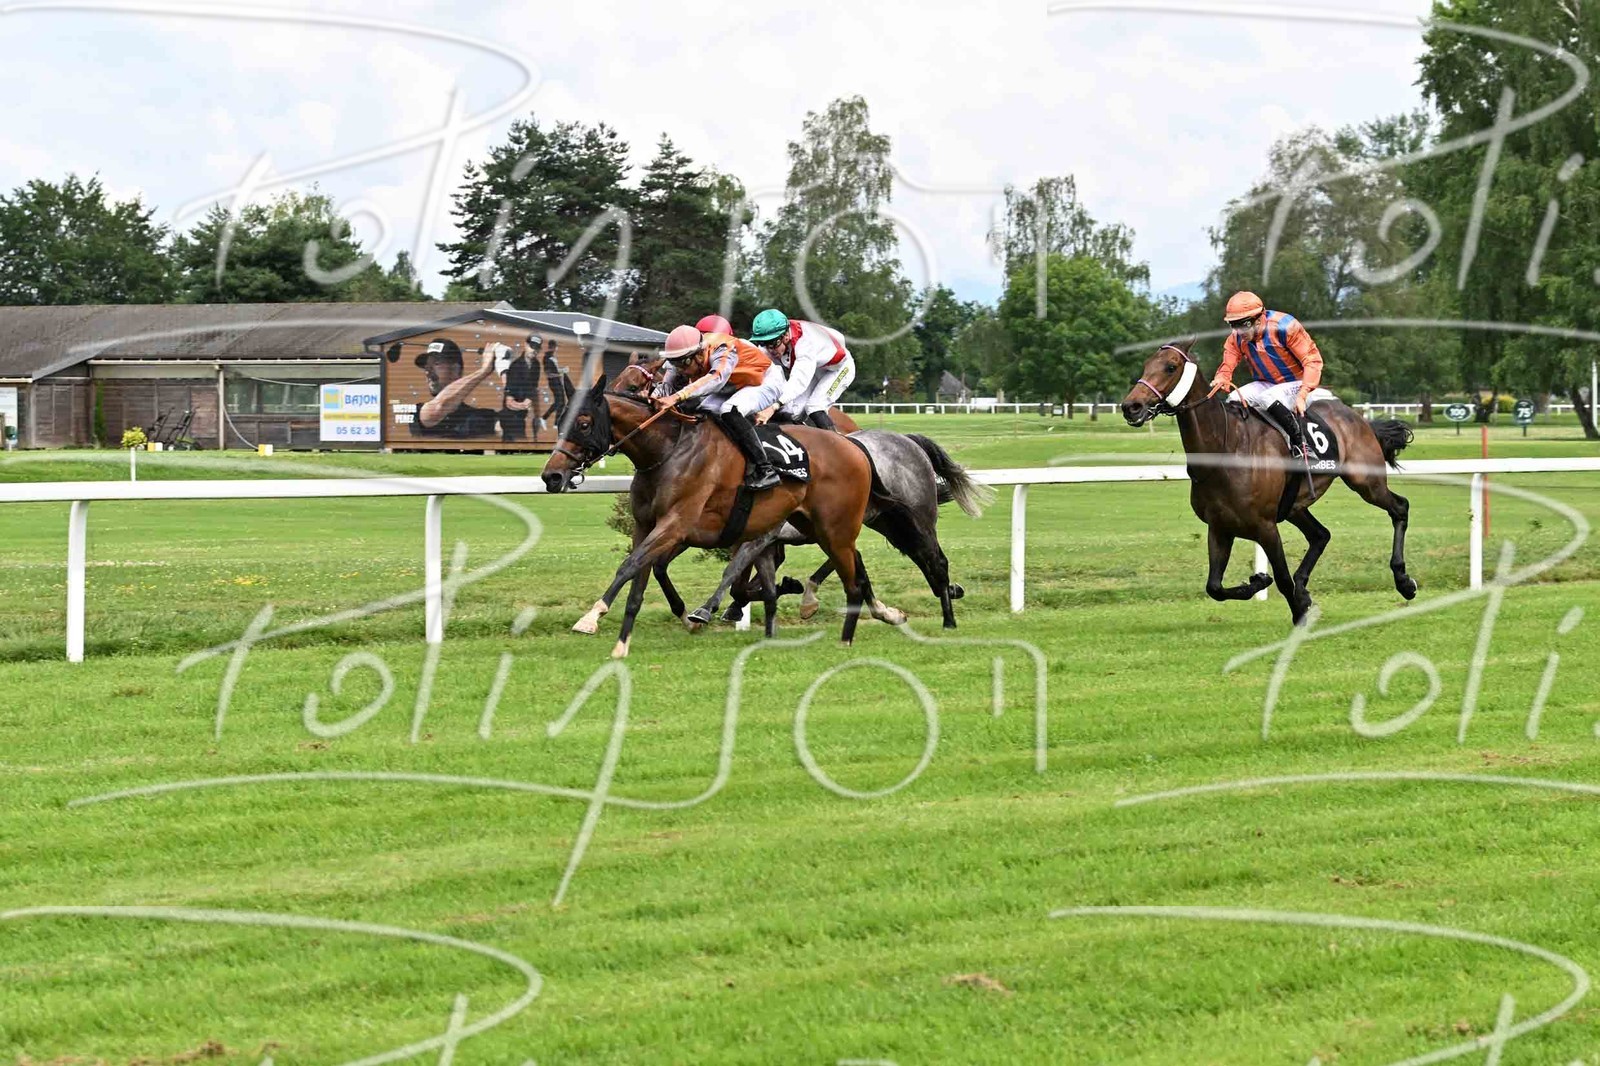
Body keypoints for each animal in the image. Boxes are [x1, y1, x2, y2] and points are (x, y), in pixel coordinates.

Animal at [540, 375, 881, 656]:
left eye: (584, 423)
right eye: (561, 420)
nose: (551, 476)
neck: (668, 451)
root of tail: (852, 444)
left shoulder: (675, 525)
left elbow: (629, 566)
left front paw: (591, 616)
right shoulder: (646, 526)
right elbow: (639, 580)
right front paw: (622, 645)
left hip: (834, 530)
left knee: (852, 582)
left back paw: (844, 638)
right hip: (807, 526)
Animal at [1119, 337, 1418, 625]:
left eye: (1170, 367)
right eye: (1146, 364)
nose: (1130, 406)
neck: (1226, 449)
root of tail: (1358, 417)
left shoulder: (1265, 527)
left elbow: (1282, 580)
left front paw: (1299, 613)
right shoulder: (1220, 527)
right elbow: (1214, 587)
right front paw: (1261, 581)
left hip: (1365, 482)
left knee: (1399, 507)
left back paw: (1404, 581)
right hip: (1295, 506)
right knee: (1320, 534)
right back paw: (1304, 588)